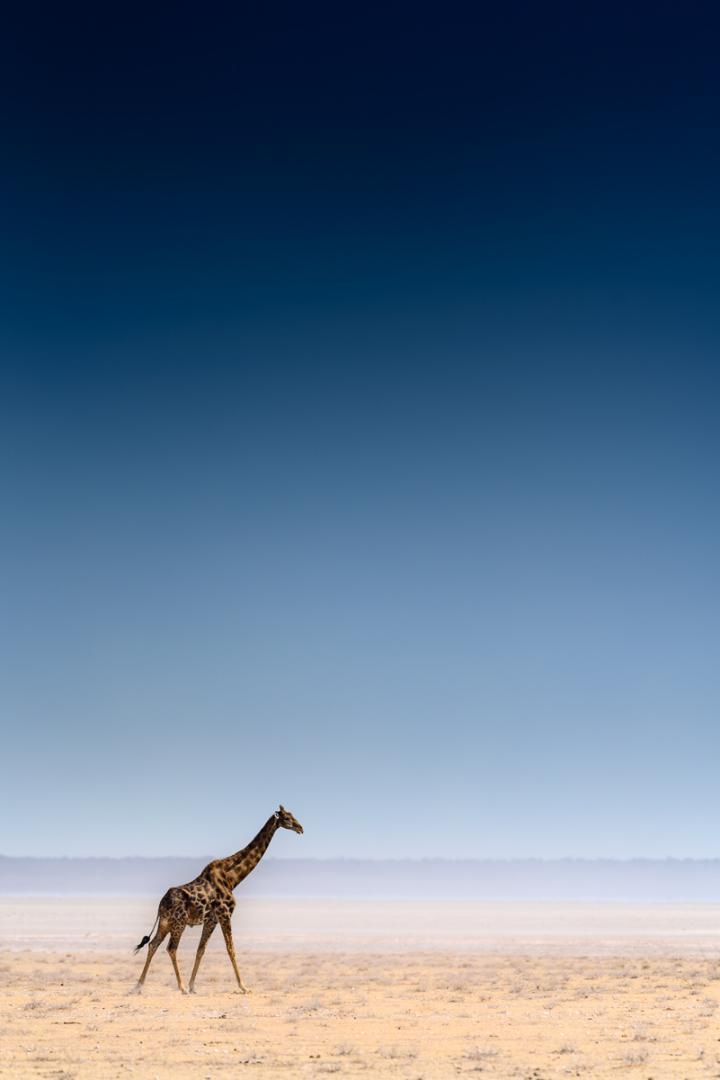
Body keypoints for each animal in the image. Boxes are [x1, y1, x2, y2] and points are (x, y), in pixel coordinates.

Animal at [131, 803, 302, 993]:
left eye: (292, 815)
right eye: (287, 818)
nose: (300, 828)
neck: (233, 879)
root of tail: (161, 904)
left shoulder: (211, 919)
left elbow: (201, 950)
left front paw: (193, 986)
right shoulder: (225, 914)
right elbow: (230, 949)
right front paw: (243, 987)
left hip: (165, 922)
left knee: (153, 944)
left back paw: (138, 986)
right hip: (179, 922)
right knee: (171, 948)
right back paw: (180, 987)